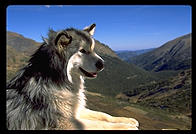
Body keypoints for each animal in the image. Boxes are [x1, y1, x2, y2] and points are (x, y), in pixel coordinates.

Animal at [5, 24, 138, 130]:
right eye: (82, 51)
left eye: (93, 49)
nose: (103, 64)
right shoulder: (66, 123)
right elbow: (100, 124)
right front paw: (126, 127)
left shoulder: (77, 110)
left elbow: (104, 115)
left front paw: (127, 120)